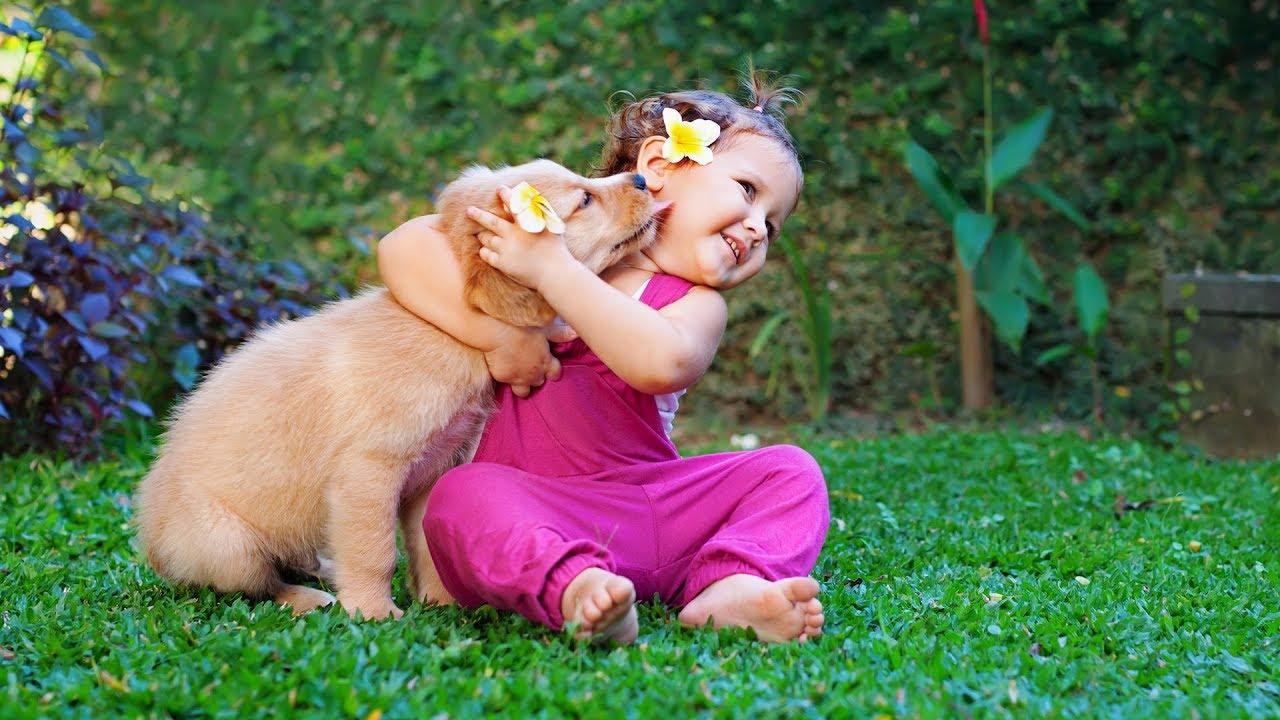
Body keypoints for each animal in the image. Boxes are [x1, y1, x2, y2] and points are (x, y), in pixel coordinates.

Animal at [136, 158, 665, 617]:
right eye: (584, 199)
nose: (641, 179)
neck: (446, 332)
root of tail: (153, 546)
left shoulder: (436, 467)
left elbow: (427, 543)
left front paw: (441, 603)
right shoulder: (368, 470)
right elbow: (375, 551)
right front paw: (373, 611)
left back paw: (325, 570)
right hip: (228, 544)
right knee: (261, 584)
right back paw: (311, 597)